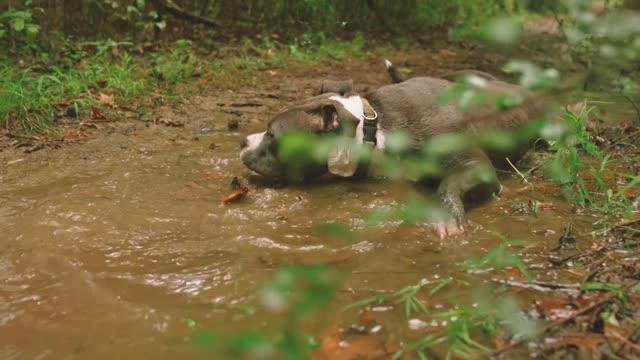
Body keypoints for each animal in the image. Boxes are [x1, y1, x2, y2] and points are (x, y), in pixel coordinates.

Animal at [239, 59, 552, 239]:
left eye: (272, 134)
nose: (242, 141)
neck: (375, 131)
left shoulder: (477, 168)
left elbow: (448, 184)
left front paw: (446, 216)